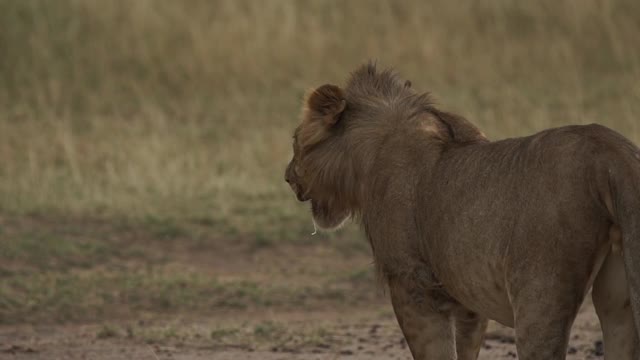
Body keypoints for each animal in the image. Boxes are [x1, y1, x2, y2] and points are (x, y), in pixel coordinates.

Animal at [284, 63, 640, 358]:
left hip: (540, 294)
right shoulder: (469, 295)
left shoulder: (413, 286)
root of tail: (611, 150)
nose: (287, 177)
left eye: (294, 141)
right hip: (618, 299)